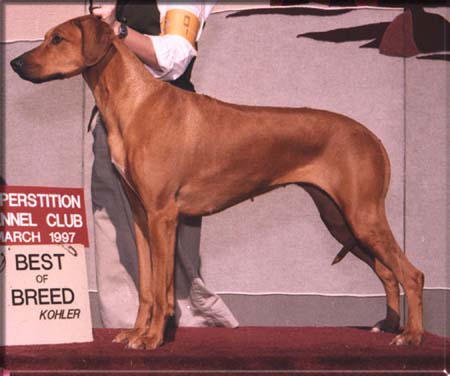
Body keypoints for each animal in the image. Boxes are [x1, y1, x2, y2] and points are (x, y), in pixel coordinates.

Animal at [11, 14, 426, 350]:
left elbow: (162, 289)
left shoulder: (163, 216)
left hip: (362, 216)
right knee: (387, 272)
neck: (135, 103)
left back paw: (412, 335)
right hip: (340, 219)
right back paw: (389, 325)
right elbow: (146, 286)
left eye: (58, 39)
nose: (14, 62)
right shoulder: (141, 218)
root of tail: (370, 136)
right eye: (46, 36)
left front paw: (152, 339)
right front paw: (136, 332)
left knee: (411, 273)